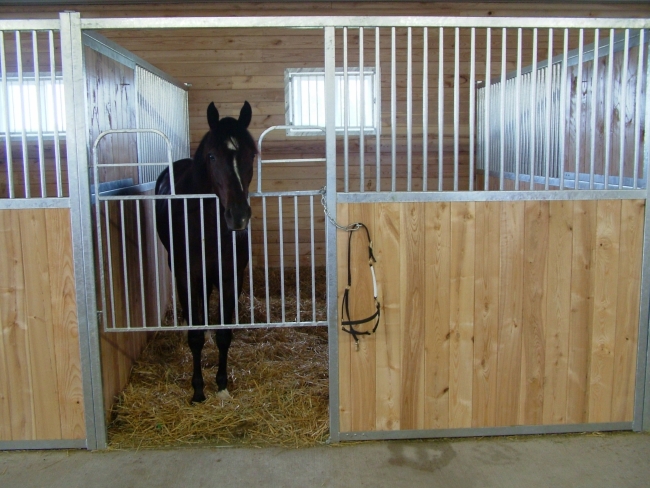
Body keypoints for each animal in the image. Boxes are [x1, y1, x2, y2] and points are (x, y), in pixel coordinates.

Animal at [154, 101, 256, 403]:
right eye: (212, 156)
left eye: (251, 155)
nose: (238, 216)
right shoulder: (188, 276)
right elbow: (195, 335)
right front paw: (198, 389)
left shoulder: (231, 275)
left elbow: (224, 334)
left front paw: (221, 385)